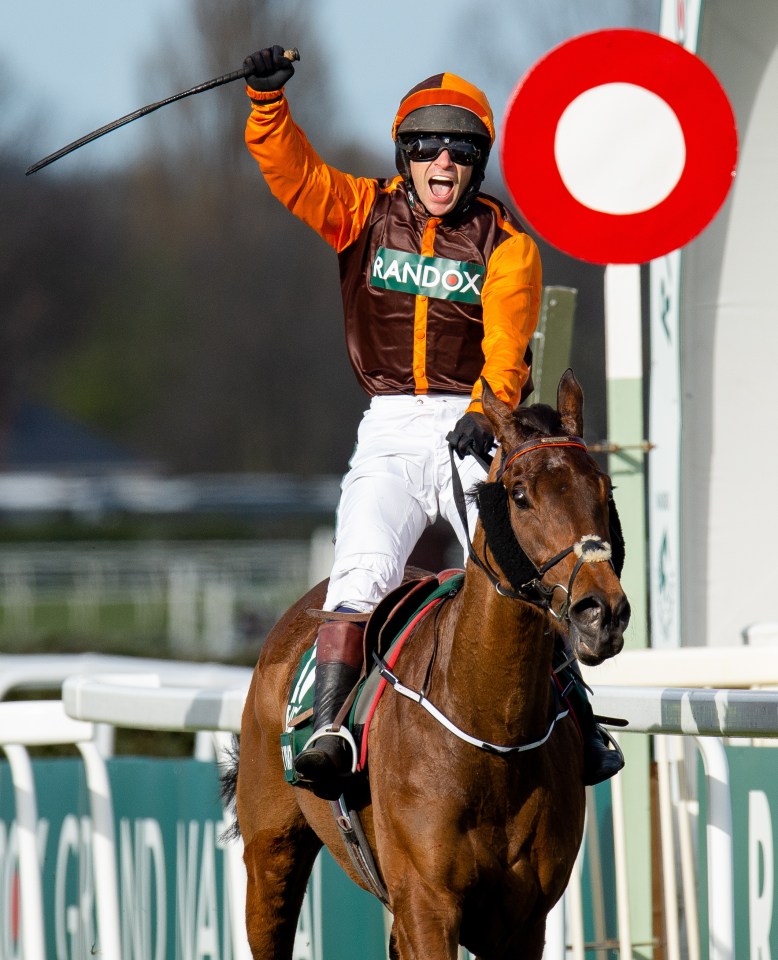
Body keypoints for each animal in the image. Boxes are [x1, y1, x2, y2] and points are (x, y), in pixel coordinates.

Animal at [227, 372, 628, 960]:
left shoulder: (523, 920)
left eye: (605, 490)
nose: (602, 611)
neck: (491, 731)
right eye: (520, 495)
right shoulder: (427, 905)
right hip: (270, 857)